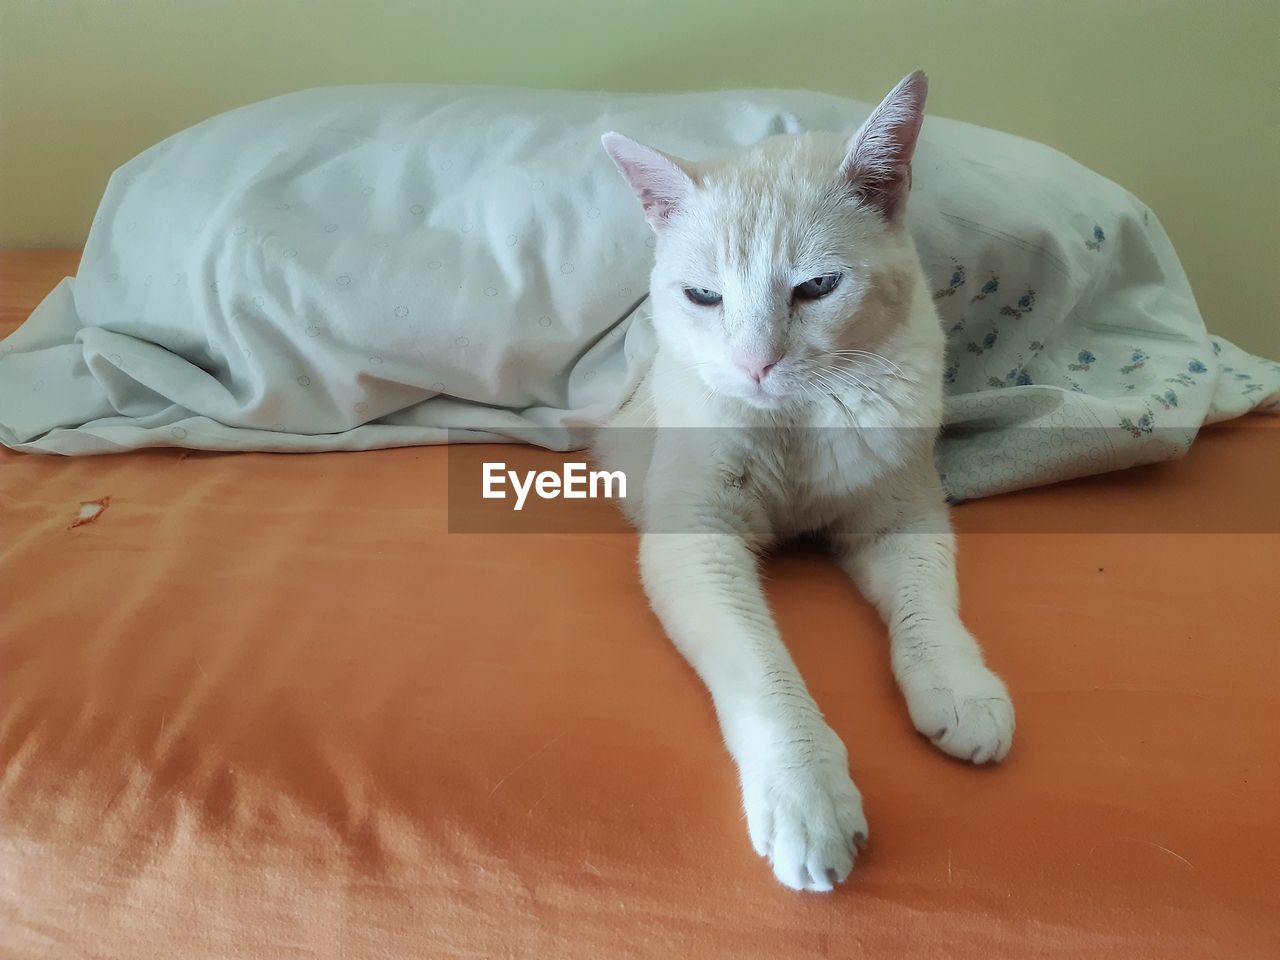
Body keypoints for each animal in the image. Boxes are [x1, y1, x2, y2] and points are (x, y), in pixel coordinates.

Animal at [593, 73, 1013, 896]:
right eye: (704, 296)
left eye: (817, 286)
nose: (756, 363)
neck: (790, 421)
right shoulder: (695, 546)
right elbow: (764, 674)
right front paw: (807, 796)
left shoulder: (901, 517)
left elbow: (929, 610)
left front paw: (959, 686)